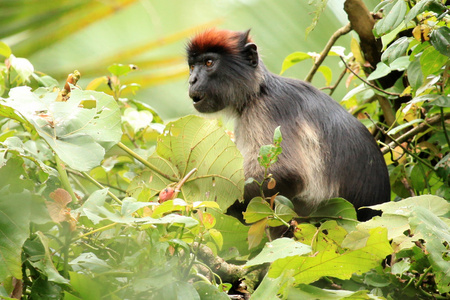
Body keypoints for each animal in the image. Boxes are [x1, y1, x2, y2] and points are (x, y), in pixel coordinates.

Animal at [186, 28, 390, 220]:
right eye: (192, 67)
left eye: (209, 63)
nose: (191, 80)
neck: (259, 91)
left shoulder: (268, 108)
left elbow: (286, 172)